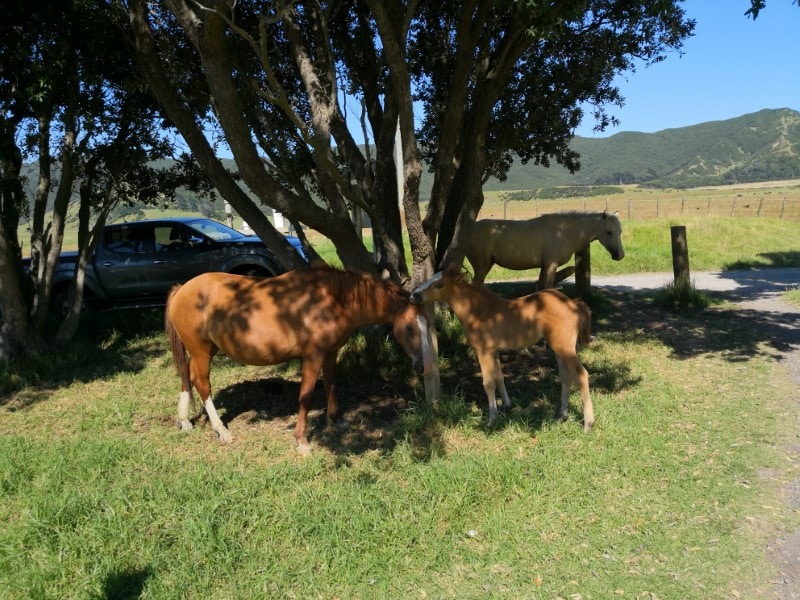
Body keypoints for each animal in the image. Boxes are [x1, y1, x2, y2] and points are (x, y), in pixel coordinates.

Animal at [165, 268, 434, 454]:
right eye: (410, 328)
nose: (423, 367)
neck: (335, 298)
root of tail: (183, 288)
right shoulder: (313, 355)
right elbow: (306, 395)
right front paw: (302, 441)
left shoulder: (330, 353)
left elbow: (331, 385)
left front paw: (336, 420)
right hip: (201, 351)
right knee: (202, 384)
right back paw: (221, 430)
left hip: (206, 350)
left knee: (187, 376)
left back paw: (184, 421)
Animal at [466, 210, 628, 288]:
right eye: (609, 232)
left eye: (620, 231)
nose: (619, 255)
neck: (564, 232)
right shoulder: (551, 265)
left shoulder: (544, 266)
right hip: (481, 267)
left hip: (488, 264)